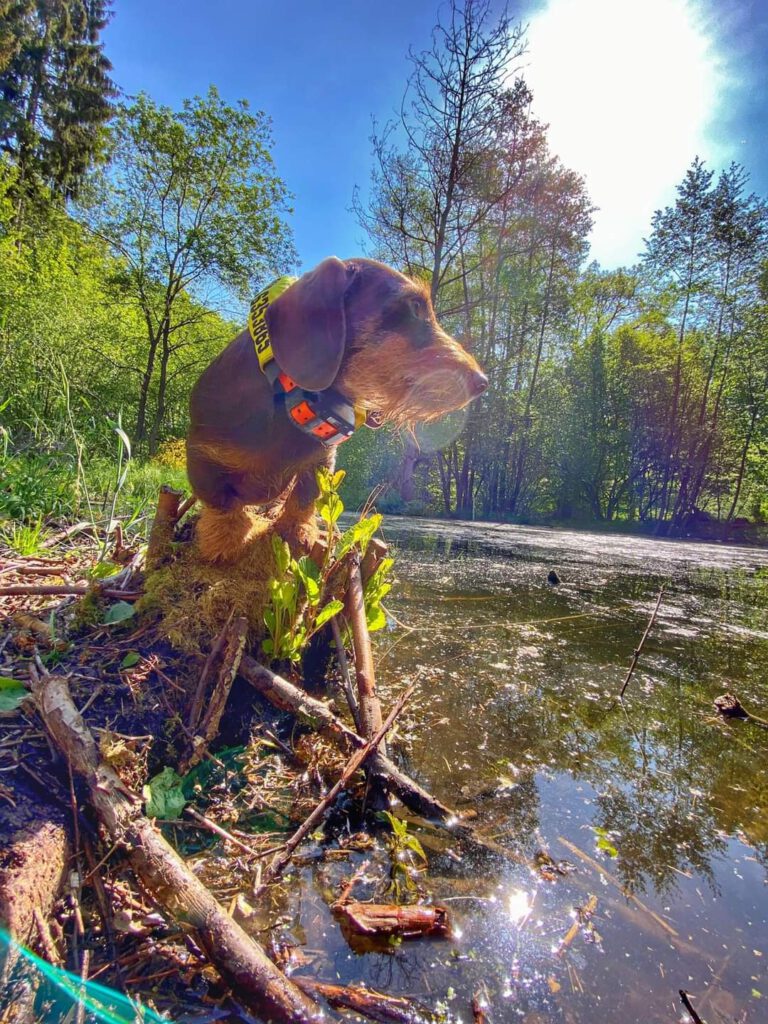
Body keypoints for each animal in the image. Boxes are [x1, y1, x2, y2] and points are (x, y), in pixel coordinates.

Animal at [186, 256, 487, 561]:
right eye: (415, 306)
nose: (482, 382)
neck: (288, 401)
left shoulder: (322, 459)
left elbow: (306, 494)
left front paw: (298, 531)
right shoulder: (200, 452)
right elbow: (220, 499)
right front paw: (225, 541)